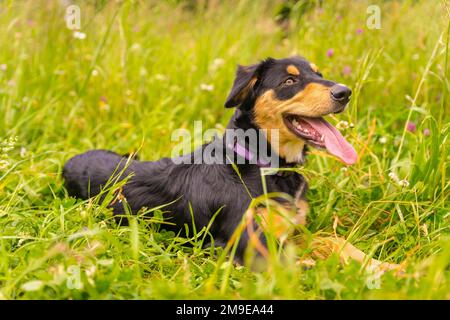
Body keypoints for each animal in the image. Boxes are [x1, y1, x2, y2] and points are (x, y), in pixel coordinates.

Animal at [62, 55, 398, 270]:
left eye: (318, 73)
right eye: (290, 80)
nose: (345, 92)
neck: (263, 165)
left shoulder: (290, 230)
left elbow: (333, 239)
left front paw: (388, 267)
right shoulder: (250, 246)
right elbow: (311, 265)